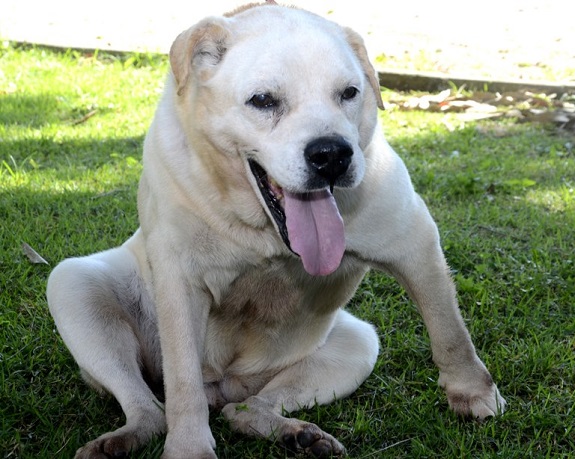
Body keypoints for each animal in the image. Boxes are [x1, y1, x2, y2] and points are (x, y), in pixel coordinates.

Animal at [48, 1, 504, 458]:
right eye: (263, 100)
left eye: (349, 93)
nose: (331, 154)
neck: (263, 232)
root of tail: (225, 383)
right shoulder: (179, 285)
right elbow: (181, 384)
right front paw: (190, 448)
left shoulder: (414, 242)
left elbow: (449, 329)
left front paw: (472, 392)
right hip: (72, 283)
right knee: (152, 407)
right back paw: (121, 439)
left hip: (356, 344)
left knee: (247, 409)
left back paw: (297, 434)